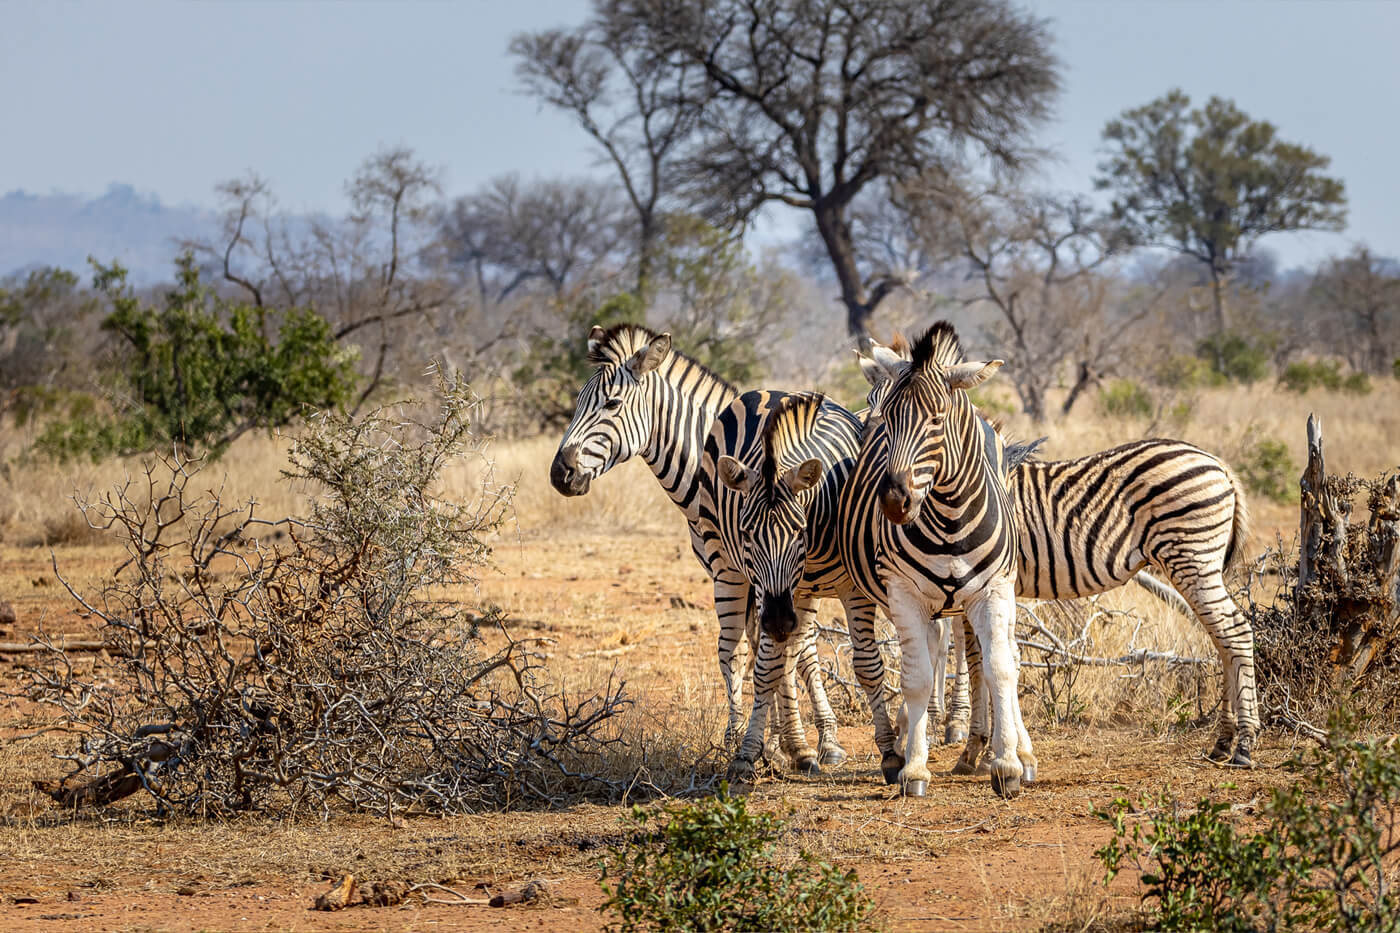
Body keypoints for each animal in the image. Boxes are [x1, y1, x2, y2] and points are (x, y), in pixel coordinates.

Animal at [548, 325, 845, 767]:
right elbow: (752, 649)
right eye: (578, 404)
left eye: (612, 404)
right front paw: (770, 741)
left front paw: (816, 739)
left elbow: (797, 650)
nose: (558, 473)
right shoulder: (739, 571)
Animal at [711, 389, 907, 778]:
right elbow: (767, 669)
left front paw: (890, 751)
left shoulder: (853, 588)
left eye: (798, 530)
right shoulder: (772, 592)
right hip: (737, 574)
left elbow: (868, 665)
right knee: (763, 653)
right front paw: (747, 753)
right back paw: (792, 747)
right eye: (746, 533)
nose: (776, 621)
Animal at [862, 330, 1260, 767]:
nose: (892, 498)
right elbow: (981, 656)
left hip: (1192, 558)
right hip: (1197, 564)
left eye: (934, 420)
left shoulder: (984, 585)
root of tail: (1219, 464)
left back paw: (1244, 744)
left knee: (1236, 632)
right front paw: (981, 745)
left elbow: (978, 659)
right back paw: (1223, 740)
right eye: (878, 410)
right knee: (1222, 638)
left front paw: (973, 747)